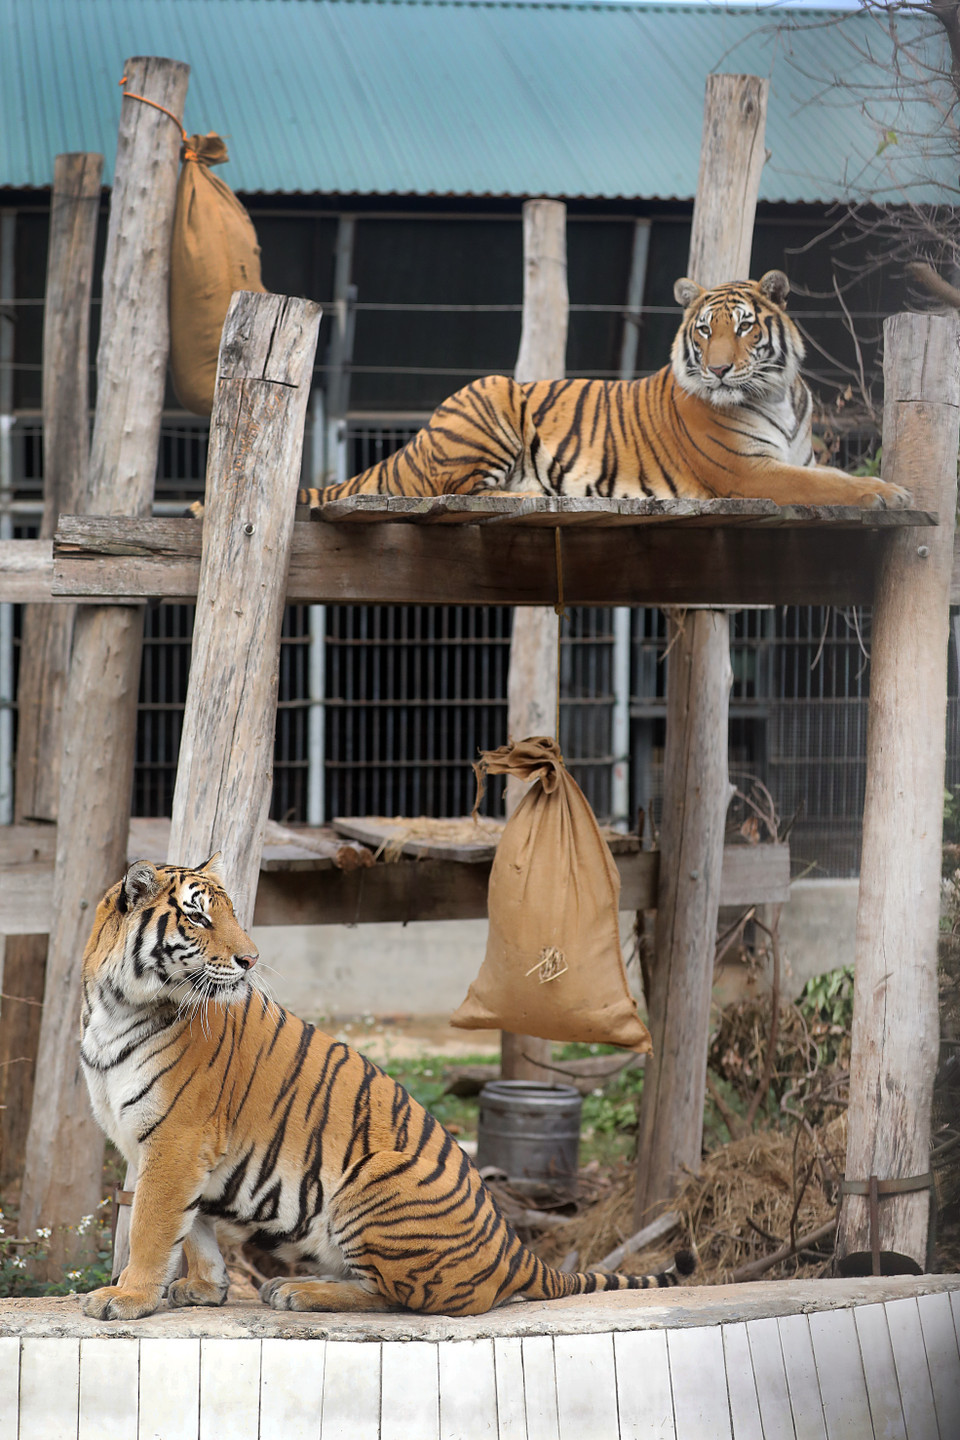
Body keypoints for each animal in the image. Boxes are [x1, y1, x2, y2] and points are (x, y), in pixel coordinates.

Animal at [79, 856, 695, 1321]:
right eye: (200, 919)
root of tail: (514, 1248)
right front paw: (204, 1290)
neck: (115, 1006)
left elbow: (154, 1227)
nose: (251, 959)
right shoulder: (177, 1150)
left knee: (402, 1298)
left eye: (229, 915)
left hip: (371, 1182)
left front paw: (126, 1296)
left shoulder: (178, 1141)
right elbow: (195, 1229)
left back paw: (299, 1291)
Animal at [302, 270, 907, 511]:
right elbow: (824, 487)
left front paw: (887, 487)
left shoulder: (795, 457)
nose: (716, 372)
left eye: (744, 327)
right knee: (453, 493)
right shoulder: (750, 472)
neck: (774, 394)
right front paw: (888, 495)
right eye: (704, 330)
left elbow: (831, 475)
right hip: (490, 396)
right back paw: (535, 495)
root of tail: (415, 440)